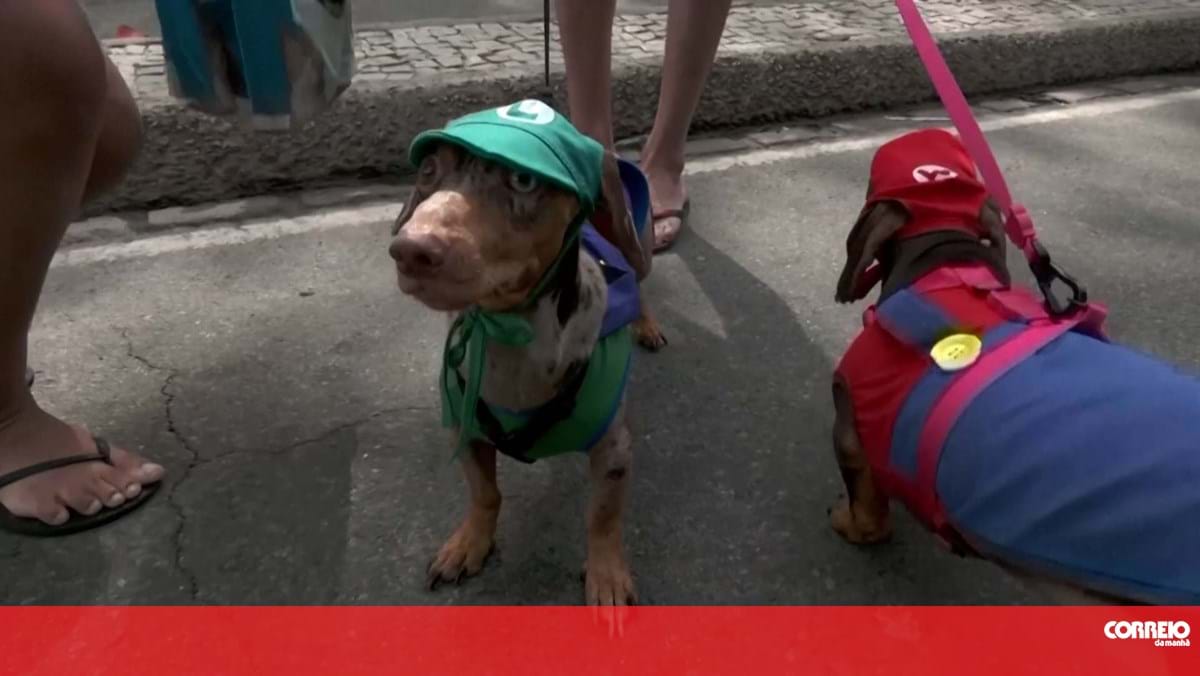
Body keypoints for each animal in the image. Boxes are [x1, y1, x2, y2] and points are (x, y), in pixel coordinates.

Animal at [386, 103, 662, 605]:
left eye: (523, 180)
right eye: (429, 169)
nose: (411, 250)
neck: (509, 339)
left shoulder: (614, 450)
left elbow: (603, 518)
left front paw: (607, 575)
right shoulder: (463, 427)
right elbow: (485, 494)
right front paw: (470, 542)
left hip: (640, 245)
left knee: (640, 276)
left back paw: (646, 323)